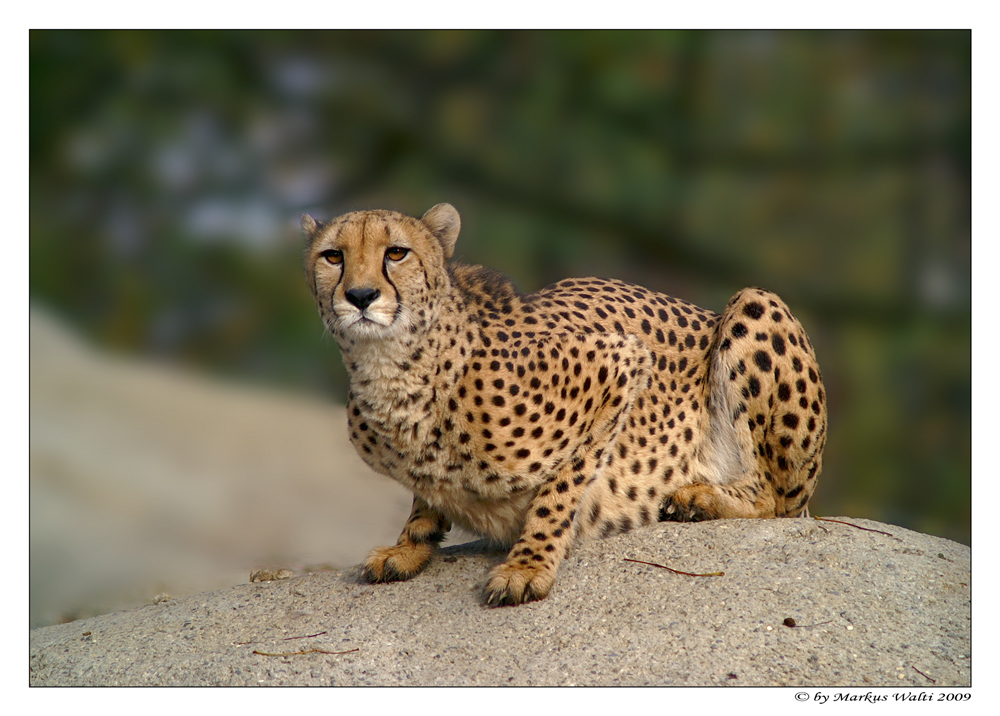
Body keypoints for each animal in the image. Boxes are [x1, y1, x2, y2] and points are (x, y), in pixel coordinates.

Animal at [302, 204, 828, 608]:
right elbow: (424, 497)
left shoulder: (621, 363)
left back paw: (700, 497)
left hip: (755, 304)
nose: (361, 296)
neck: (396, 368)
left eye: (396, 252)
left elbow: (561, 487)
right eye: (333, 256)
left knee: (774, 499)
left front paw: (529, 564)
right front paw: (408, 546)